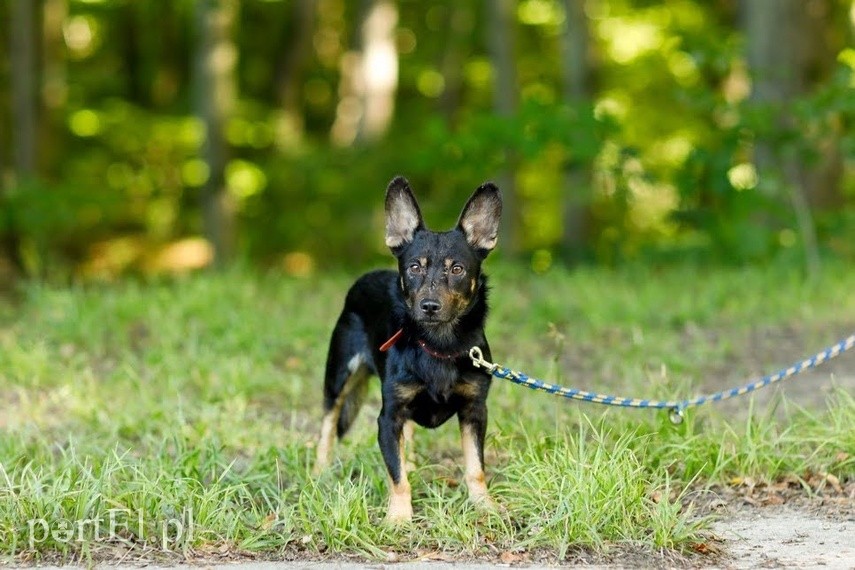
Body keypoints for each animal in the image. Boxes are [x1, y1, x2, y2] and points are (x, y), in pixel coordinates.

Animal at [314, 175, 502, 520]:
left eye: (457, 269)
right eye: (414, 267)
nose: (429, 306)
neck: (438, 344)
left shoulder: (474, 411)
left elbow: (475, 466)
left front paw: (483, 504)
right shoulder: (389, 418)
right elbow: (396, 474)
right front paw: (399, 517)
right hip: (339, 375)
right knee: (328, 423)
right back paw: (319, 470)